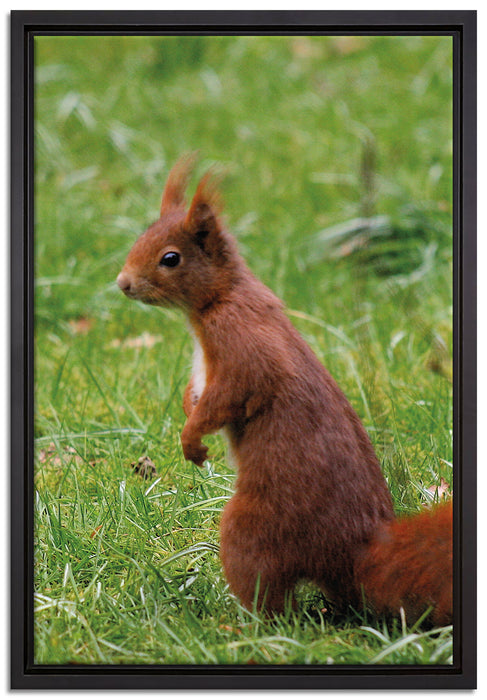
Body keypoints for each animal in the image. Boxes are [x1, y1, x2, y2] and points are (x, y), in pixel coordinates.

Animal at [117, 154, 453, 626]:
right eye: (141, 236)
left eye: (170, 258)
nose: (123, 283)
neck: (219, 299)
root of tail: (355, 552)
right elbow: (197, 394)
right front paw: (188, 416)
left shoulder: (243, 347)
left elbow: (229, 396)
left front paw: (191, 439)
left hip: (254, 529)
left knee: (272, 598)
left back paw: (241, 621)